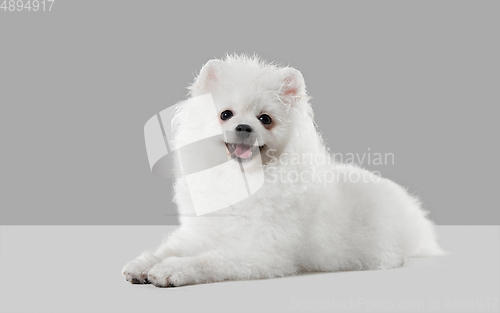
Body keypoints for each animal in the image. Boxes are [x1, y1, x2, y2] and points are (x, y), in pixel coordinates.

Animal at [123, 54, 444, 286]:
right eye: (225, 114)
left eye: (265, 119)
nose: (244, 127)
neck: (241, 180)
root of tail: (413, 208)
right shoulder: (200, 233)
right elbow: (170, 248)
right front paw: (143, 264)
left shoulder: (260, 251)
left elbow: (206, 260)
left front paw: (169, 270)